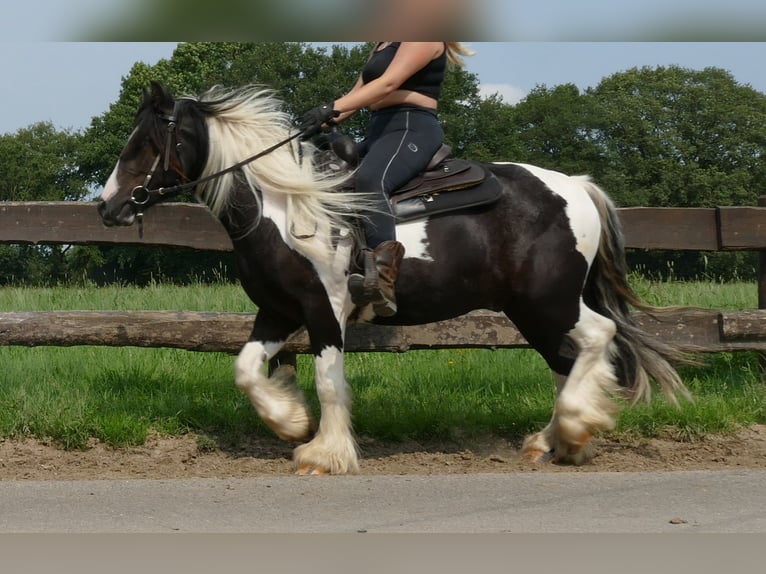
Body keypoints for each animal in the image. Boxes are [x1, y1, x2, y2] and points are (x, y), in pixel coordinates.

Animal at [97, 81, 688, 476]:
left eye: (143, 145)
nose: (108, 208)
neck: (283, 207)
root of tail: (577, 186)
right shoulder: (278, 310)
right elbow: (244, 370)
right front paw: (290, 422)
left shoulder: (324, 309)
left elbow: (328, 380)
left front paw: (324, 453)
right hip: (530, 310)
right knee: (566, 362)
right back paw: (559, 441)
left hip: (551, 300)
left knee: (599, 338)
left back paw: (574, 426)